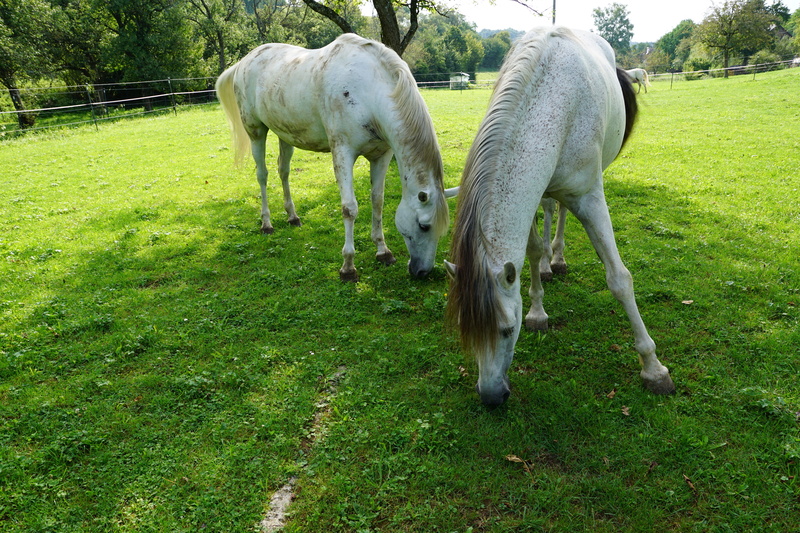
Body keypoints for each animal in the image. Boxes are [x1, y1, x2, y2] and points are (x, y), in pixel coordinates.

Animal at [215, 33, 449, 281]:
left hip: (285, 134)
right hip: (256, 132)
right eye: (424, 225)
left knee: (283, 171)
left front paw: (383, 251)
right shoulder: (342, 153)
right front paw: (348, 266)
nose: (422, 271)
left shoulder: (381, 156)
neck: (367, 91)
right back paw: (266, 223)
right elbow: (349, 208)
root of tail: (244, 61)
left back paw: (292, 216)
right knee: (262, 175)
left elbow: (377, 201)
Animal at [445, 27, 675, 407]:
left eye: (507, 330)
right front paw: (537, 310)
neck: (552, 106)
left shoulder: (590, 198)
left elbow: (619, 279)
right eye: (465, 328)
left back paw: (559, 258)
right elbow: (531, 250)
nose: (491, 397)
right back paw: (548, 265)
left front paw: (654, 369)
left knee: (563, 213)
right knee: (552, 212)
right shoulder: (532, 191)